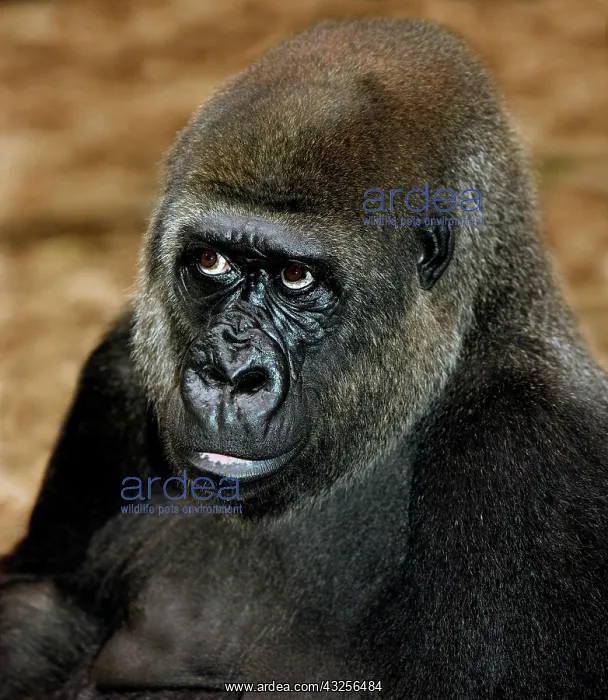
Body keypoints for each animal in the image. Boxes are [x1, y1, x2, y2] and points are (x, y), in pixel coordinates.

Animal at [1, 16, 608, 700]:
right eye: (212, 261)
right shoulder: (119, 373)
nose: (231, 374)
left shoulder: (535, 446)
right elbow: (37, 598)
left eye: (296, 276)